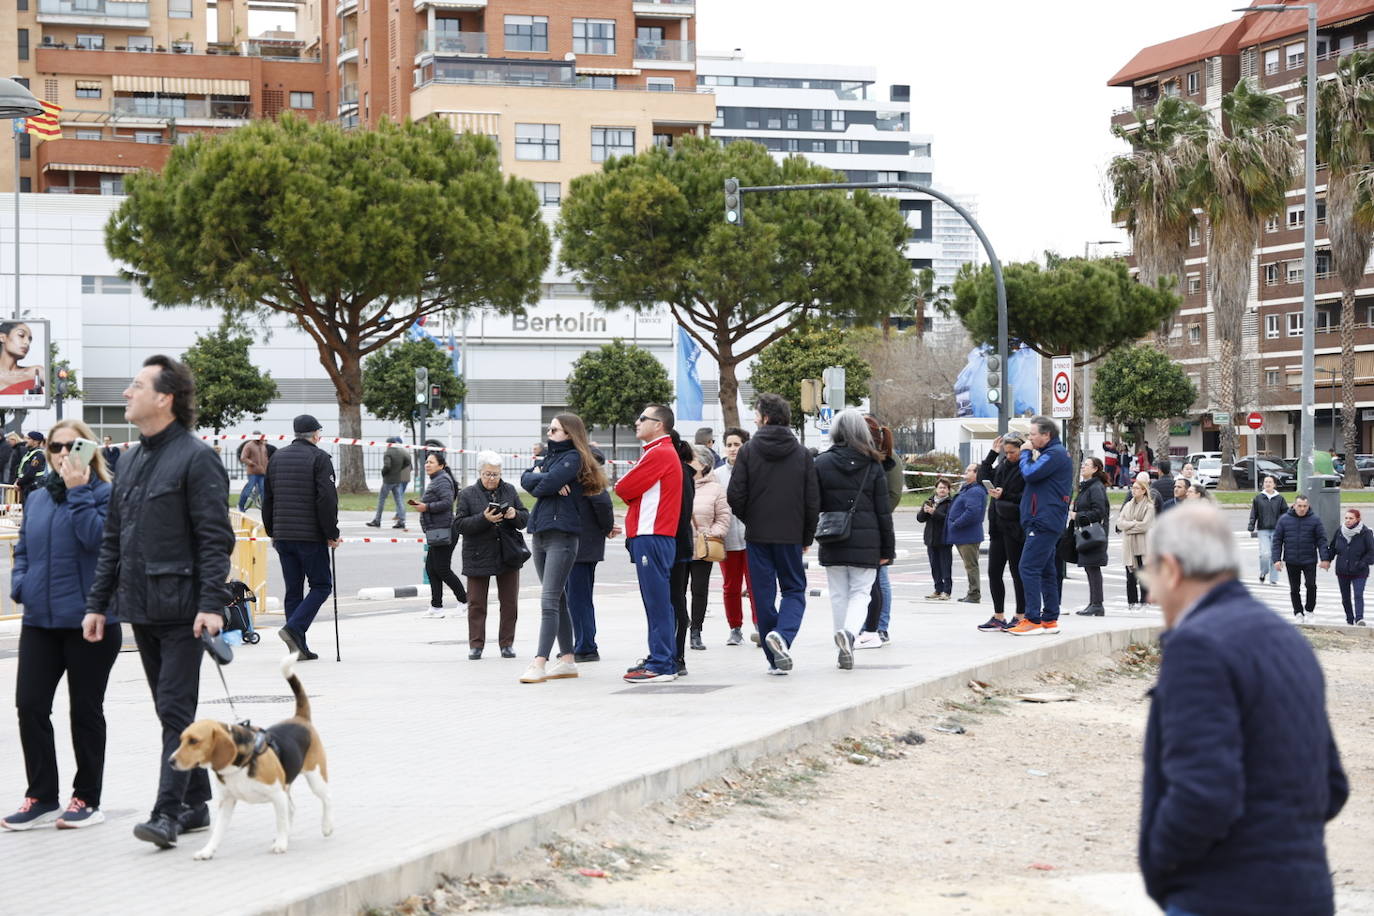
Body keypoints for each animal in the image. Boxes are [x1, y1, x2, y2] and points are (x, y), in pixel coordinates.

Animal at [171, 650, 332, 862]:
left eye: (194, 741)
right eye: (181, 740)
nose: (170, 761)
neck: (237, 766)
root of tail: (299, 718)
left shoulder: (276, 794)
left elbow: (280, 820)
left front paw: (281, 844)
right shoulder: (227, 801)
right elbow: (218, 832)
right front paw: (207, 850)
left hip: (315, 776)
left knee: (326, 798)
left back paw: (326, 826)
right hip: (288, 784)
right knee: (292, 808)